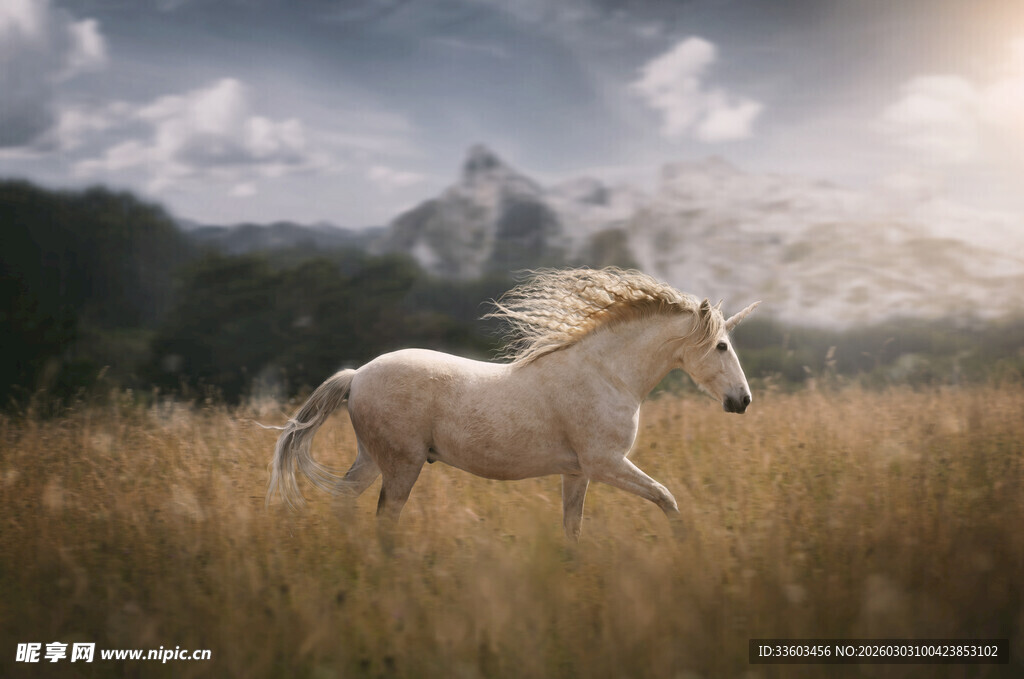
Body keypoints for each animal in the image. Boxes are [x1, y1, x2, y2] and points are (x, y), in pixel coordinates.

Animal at [266, 267, 760, 540]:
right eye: (721, 346)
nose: (743, 401)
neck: (607, 374)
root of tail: (356, 376)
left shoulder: (577, 473)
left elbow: (573, 529)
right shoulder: (605, 464)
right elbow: (667, 499)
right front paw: (687, 548)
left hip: (373, 459)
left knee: (344, 502)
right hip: (402, 465)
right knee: (384, 520)